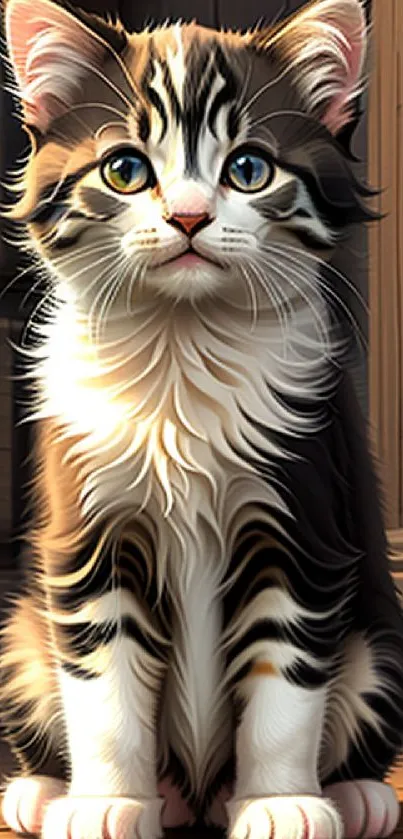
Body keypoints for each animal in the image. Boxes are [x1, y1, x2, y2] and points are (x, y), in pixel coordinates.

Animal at [0, 0, 403, 836]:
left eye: (247, 169)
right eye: (125, 169)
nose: (188, 217)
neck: (181, 343)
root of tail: (195, 792)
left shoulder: (304, 520)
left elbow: (284, 682)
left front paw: (281, 801)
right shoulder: (88, 536)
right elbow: (102, 688)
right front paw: (108, 804)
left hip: (381, 635)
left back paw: (355, 794)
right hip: (18, 636)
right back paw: (42, 790)